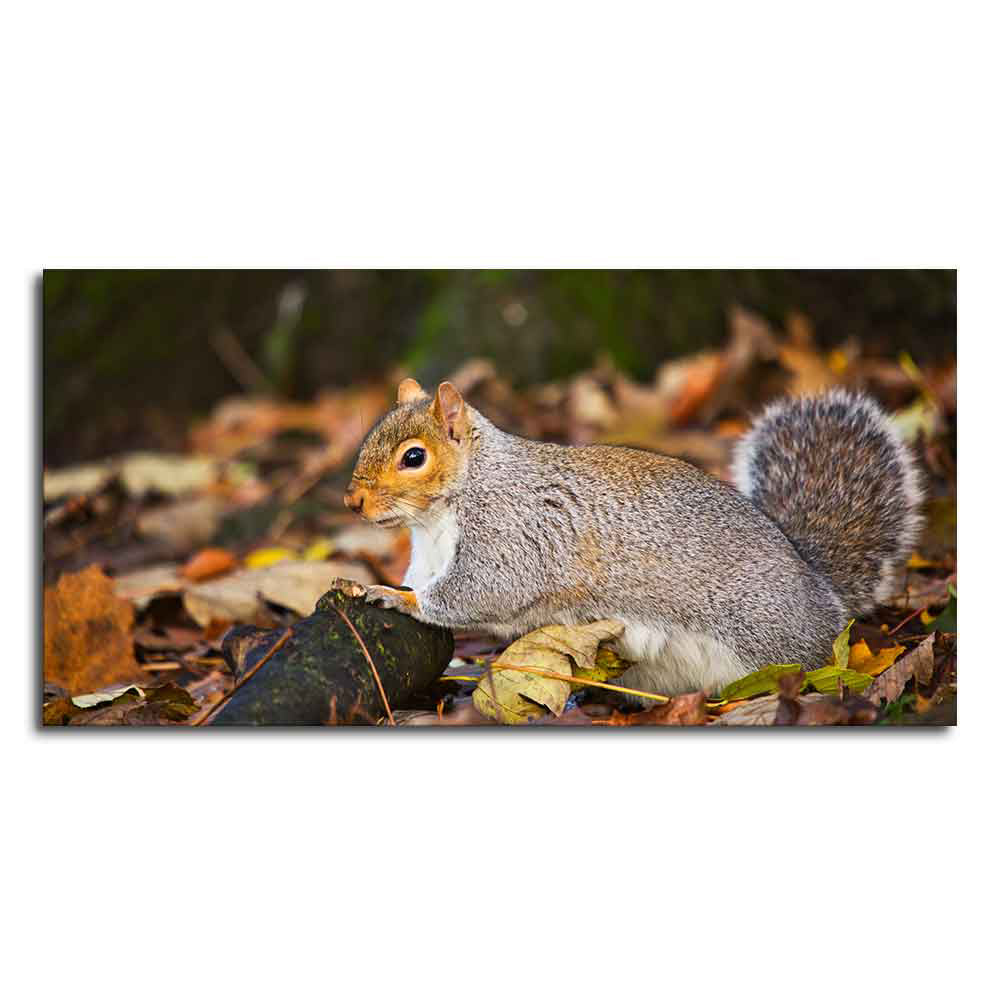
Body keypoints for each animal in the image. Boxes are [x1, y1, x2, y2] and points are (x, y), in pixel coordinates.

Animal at [344, 377, 923, 697]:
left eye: (413, 457)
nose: (353, 502)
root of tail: (820, 591)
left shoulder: (515, 530)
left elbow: (483, 590)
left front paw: (392, 595)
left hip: (768, 636)